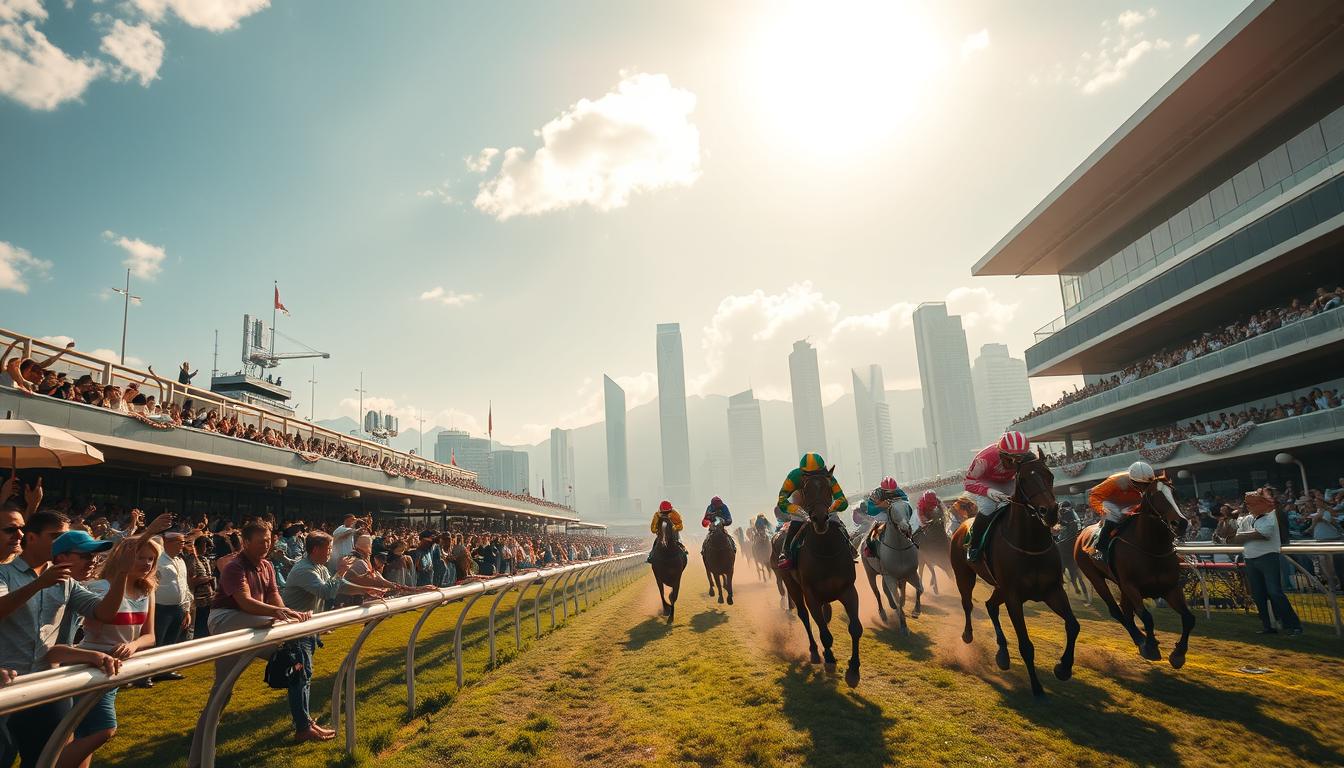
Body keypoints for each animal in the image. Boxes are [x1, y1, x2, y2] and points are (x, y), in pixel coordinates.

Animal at [774, 465, 865, 688]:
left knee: (826, 615)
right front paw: (830, 659)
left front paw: (854, 669)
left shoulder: (849, 590)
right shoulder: (811, 594)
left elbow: (855, 628)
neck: (825, 550)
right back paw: (815, 652)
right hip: (792, 585)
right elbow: (824, 632)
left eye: (827, 487)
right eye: (806, 490)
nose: (821, 519)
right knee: (805, 617)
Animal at [860, 503, 924, 634]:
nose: (905, 527)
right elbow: (896, 599)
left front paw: (916, 611)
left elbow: (920, 589)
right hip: (870, 573)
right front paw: (903, 626)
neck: (899, 549)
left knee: (889, 590)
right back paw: (883, 614)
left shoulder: (911, 573)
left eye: (907, 508)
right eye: (893, 510)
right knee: (877, 592)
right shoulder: (890, 577)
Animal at [946, 446, 1080, 699]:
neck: (1030, 545)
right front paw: (1037, 688)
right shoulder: (1013, 596)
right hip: (964, 576)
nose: (1050, 512)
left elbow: (1073, 625)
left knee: (990, 605)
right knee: (967, 604)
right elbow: (1026, 645)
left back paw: (1002, 655)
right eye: (1025, 479)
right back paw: (968, 635)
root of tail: (961, 525)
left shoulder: (1052, 590)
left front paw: (1063, 668)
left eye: (1050, 475)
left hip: (999, 587)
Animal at [1075, 481, 1193, 667]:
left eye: (1175, 493)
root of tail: (1081, 534)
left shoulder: (1171, 588)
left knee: (1126, 611)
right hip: (1095, 577)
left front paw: (1178, 654)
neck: (1151, 548)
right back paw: (1140, 639)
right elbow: (1146, 616)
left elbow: (1189, 618)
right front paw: (1150, 647)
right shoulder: (1131, 586)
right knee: (1116, 611)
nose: (1180, 523)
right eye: (1153, 495)